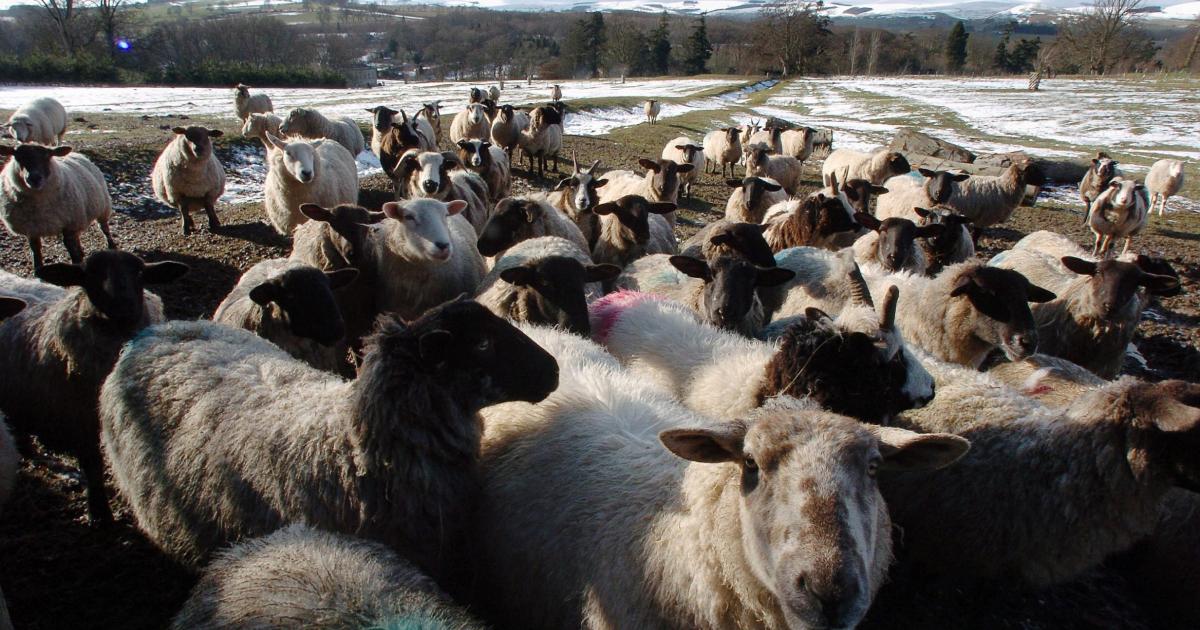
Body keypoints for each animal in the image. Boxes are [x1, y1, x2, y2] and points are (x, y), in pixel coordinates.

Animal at [0, 251, 188, 524]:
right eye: (90, 275)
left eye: (140, 273)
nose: (124, 307)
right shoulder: (79, 420)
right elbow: (93, 464)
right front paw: (100, 513)